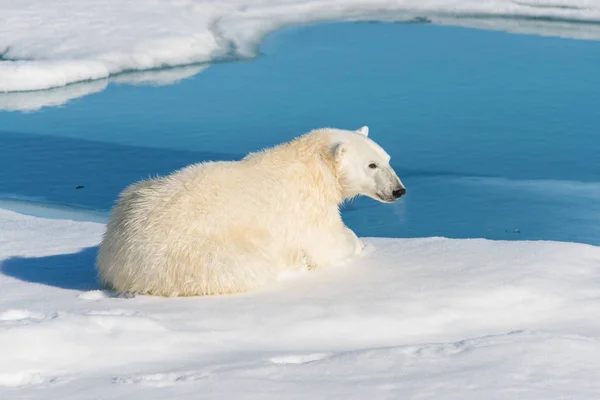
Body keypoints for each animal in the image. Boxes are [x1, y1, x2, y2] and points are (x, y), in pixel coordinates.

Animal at [97, 126, 404, 296]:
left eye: (387, 158)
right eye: (371, 165)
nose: (398, 190)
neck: (315, 166)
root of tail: (115, 258)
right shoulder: (304, 208)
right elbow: (326, 244)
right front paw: (357, 244)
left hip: (134, 193)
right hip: (195, 253)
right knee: (248, 266)